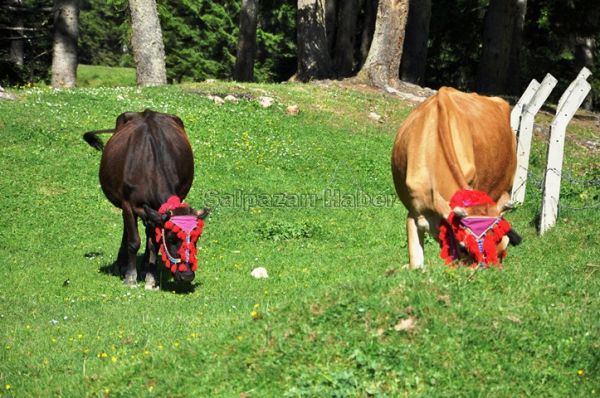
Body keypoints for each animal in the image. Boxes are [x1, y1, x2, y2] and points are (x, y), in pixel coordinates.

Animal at [82, 110, 209, 288]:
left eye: (197, 238)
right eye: (171, 238)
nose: (187, 276)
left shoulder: (157, 213)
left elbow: (154, 244)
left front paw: (150, 277)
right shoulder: (128, 205)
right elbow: (134, 241)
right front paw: (130, 277)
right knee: (127, 231)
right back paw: (122, 264)